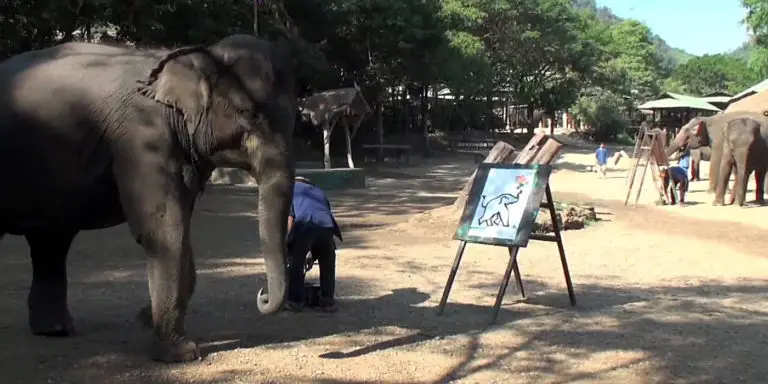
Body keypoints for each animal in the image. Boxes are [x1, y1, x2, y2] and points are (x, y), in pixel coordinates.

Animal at [0, 34, 296, 362]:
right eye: (246, 113)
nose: (262, 295)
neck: (194, 55)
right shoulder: (142, 136)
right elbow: (165, 228)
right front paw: (181, 354)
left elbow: (180, 226)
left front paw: (147, 318)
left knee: (51, 242)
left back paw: (55, 330)